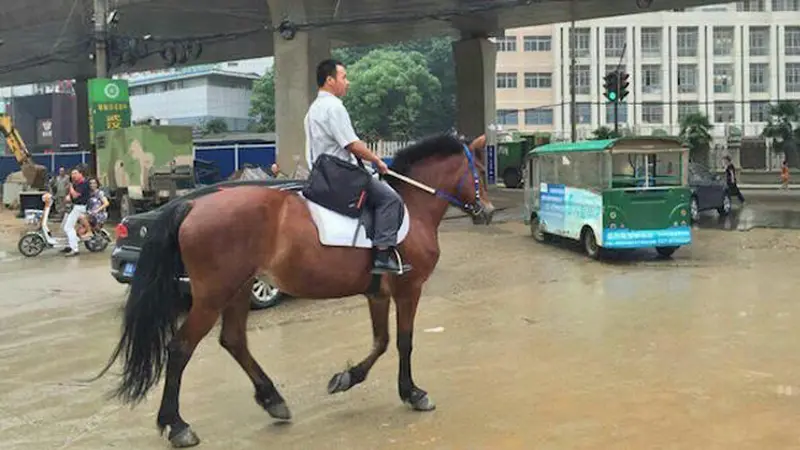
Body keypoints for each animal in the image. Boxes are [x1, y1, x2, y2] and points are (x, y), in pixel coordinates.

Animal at [94, 133, 494, 446]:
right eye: (480, 172)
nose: (487, 211)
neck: (412, 205)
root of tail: (191, 203)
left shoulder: (377, 294)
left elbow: (381, 342)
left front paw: (346, 378)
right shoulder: (409, 290)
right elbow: (404, 342)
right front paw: (413, 393)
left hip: (239, 289)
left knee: (234, 340)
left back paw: (272, 399)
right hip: (211, 296)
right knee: (180, 348)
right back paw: (177, 425)